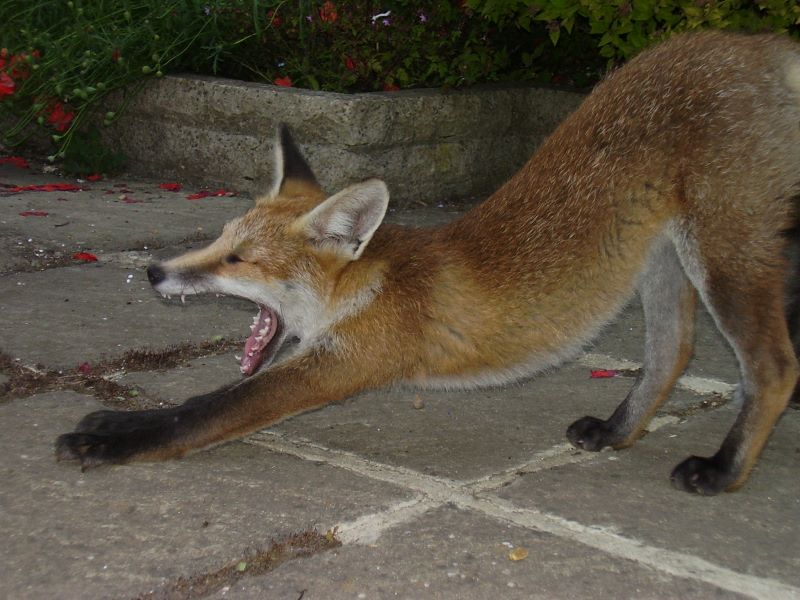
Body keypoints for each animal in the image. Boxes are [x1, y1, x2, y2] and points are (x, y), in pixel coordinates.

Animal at [56, 30, 800, 494]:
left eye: (239, 259)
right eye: (217, 239)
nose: (155, 273)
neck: (368, 286)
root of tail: (755, 45)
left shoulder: (344, 364)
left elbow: (205, 411)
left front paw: (113, 438)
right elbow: (204, 400)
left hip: (724, 257)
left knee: (773, 367)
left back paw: (723, 472)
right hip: (658, 259)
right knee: (673, 351)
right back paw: (618, 432)